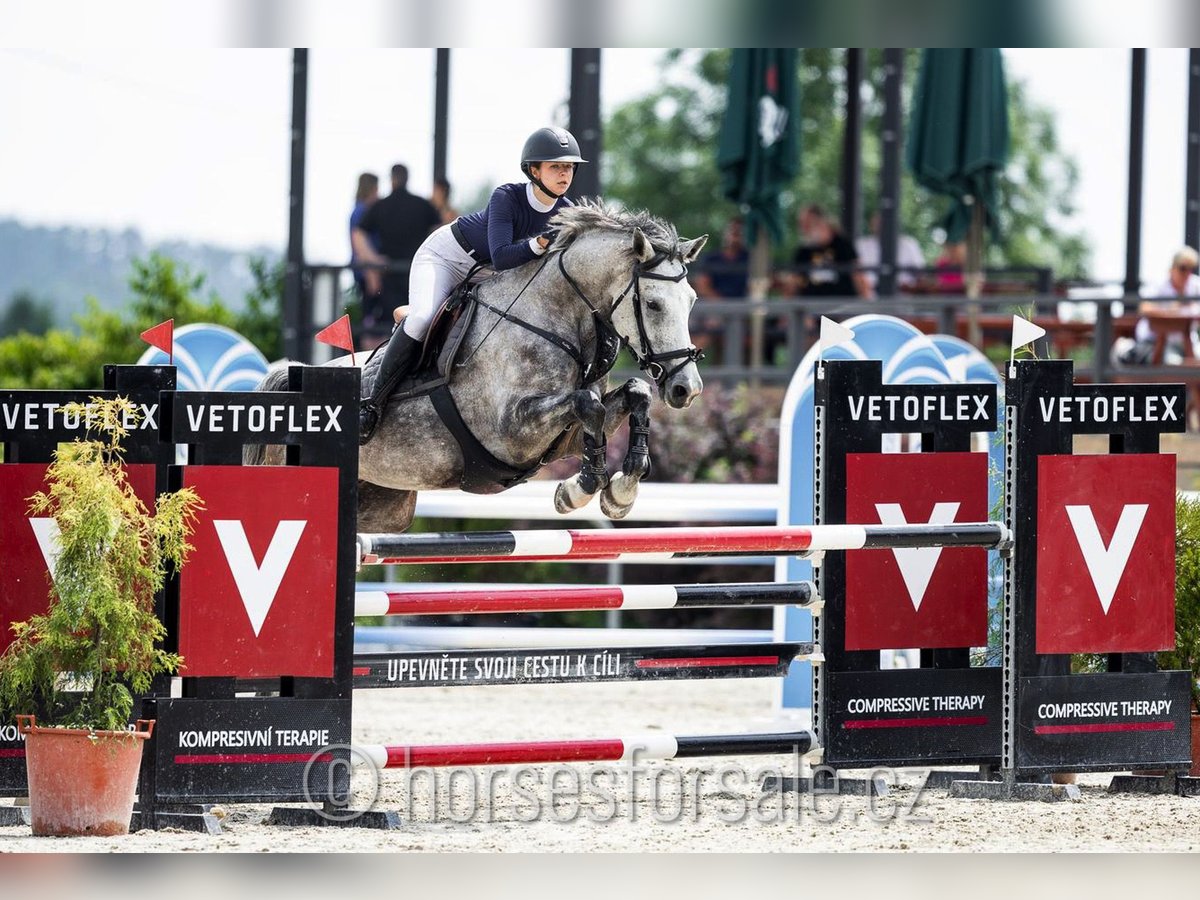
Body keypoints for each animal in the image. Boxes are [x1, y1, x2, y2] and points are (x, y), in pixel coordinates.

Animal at [249, 200, 705, 532]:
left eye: (692, 301)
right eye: (653, 304)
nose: (688, 388)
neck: (555, 317)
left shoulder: (565, 438)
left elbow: (633, 395)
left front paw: (621, 490)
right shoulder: (510, 432)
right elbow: (585, 404)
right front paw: (578, 489)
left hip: (382, 507)